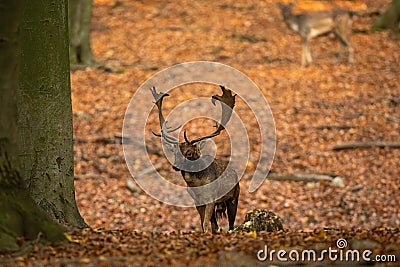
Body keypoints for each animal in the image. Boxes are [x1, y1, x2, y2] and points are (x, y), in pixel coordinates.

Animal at [149, 86, 238, 234]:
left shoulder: (211, 198)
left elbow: (206, 224)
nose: (175, 166)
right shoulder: (197, 201)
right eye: (174, 152)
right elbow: (204, 224)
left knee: (231, 224)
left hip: (234, 197)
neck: (197, 186)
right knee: (217, 225)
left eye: (189, 153)